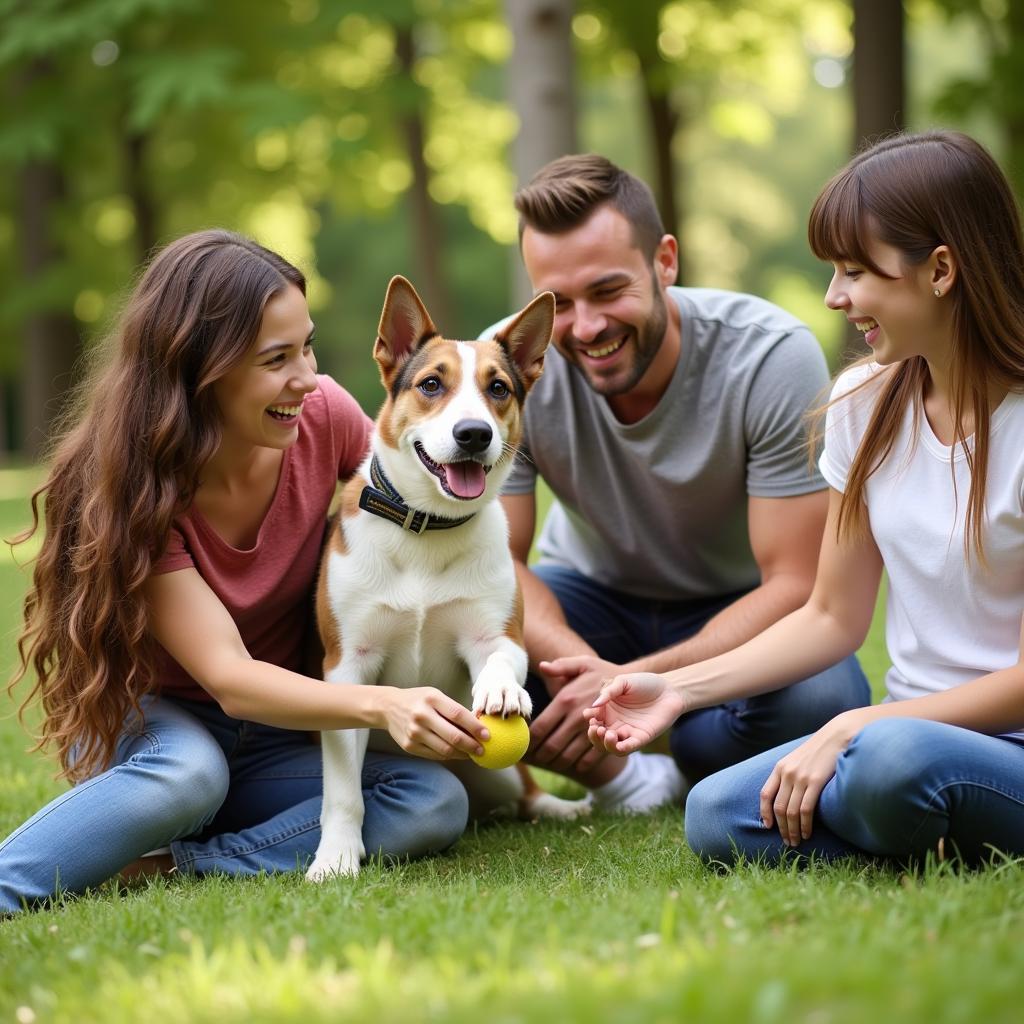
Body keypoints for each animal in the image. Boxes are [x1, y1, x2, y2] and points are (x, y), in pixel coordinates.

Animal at [307, 278, 589, 880]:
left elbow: (502, 657)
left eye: (499, 388)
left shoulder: (496, 634)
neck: (425, 528)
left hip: (498, 773)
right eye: (431, 384)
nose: (474, 433)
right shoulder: (346, 666)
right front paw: (336, 856)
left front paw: (501, 687)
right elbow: (342, 792)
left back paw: (560, 807)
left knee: (524, 792)